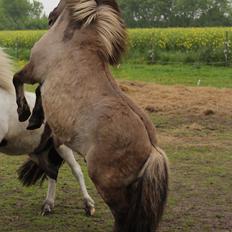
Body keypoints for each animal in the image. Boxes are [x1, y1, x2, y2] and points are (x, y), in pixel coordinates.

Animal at [0, 48, 95, 217]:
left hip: (62, 147)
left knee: (77, 171)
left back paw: (88, 205)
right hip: (38, 151)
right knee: (52, 172)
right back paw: (48, 205)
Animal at [12, 0, 169, 230]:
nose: (50, 15)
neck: (74, 39)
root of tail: (152, 149)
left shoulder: (34, 70)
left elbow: (17, 79)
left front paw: (24, 114)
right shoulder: (43, 80)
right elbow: (39, 94)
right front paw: (35, 119)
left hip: (107, 184)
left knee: (122, 216)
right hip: (130, 188)